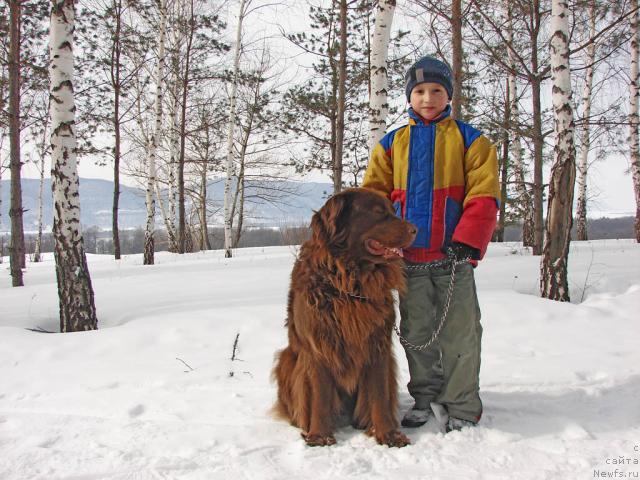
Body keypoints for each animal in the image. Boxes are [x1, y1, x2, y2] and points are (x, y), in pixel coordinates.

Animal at [272, 188, 418, 446]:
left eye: (392, 211)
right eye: (379, 213)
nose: (415, 230)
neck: (349, 282)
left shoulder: (377, 344)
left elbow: (379, 395)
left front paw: (388, 434)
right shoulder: (318, 346)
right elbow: (320, 396)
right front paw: (319, 436)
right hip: (287, 360)